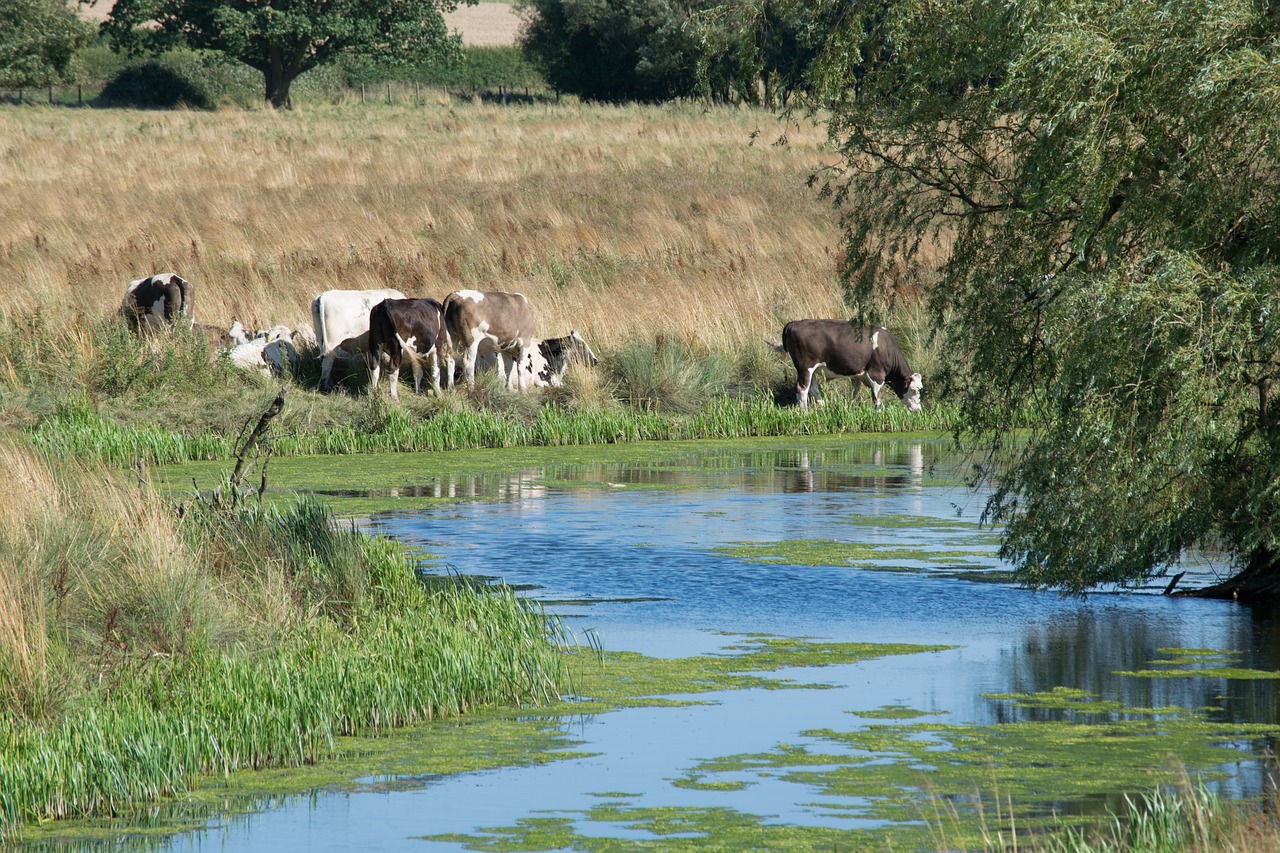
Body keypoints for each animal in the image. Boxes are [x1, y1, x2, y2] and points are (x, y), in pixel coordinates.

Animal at [778, 318, 921, 412]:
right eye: (914, 390)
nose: (918, 410)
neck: (886, 347)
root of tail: (793, 323)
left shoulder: (857, 375)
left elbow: (854, 392)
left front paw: (850, 407)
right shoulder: (876, 375)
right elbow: (876, 399)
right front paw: (879, 414)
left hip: (809, 370)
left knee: (812, 388)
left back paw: (824, 406)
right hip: (805, 367)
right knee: (802, 389)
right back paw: (805, 413)